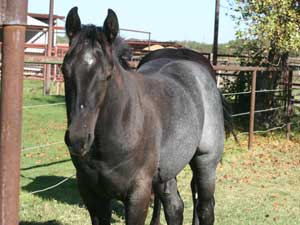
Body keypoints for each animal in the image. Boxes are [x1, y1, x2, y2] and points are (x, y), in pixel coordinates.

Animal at [62, 7, 224, 225]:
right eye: (64, 71)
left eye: (108, 75)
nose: (78, 139)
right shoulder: (92, 195)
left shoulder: (138, 195)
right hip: (166, 172)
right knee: (175, 207)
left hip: (205, 163)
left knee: (205, 208)